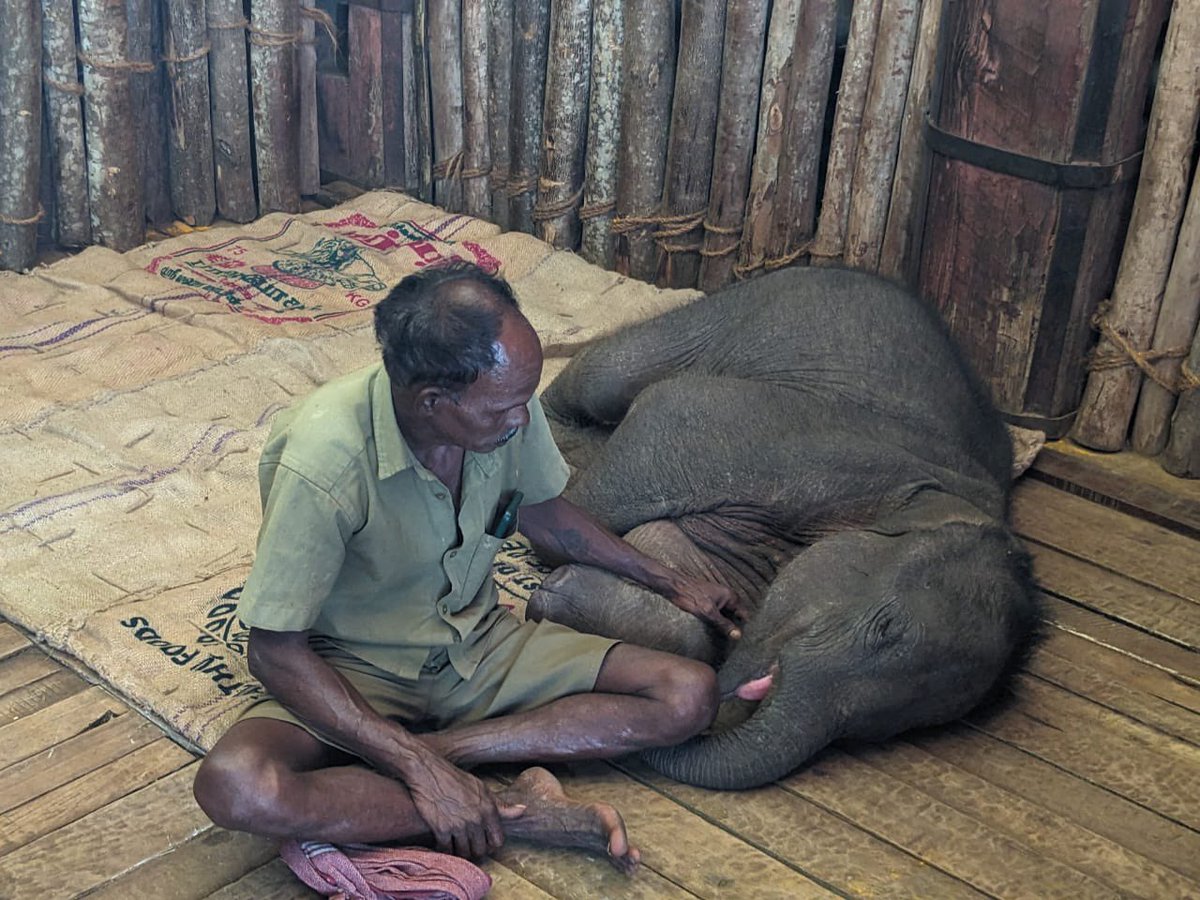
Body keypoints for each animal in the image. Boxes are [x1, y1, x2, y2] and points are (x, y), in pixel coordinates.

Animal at [526, 266, 1039, 790]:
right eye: (886, 627)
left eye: (885, 730)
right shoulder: (807, 456)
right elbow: (668, 415)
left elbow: (678, 559)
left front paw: (566, 595)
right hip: (718, 316)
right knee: (608, 374)